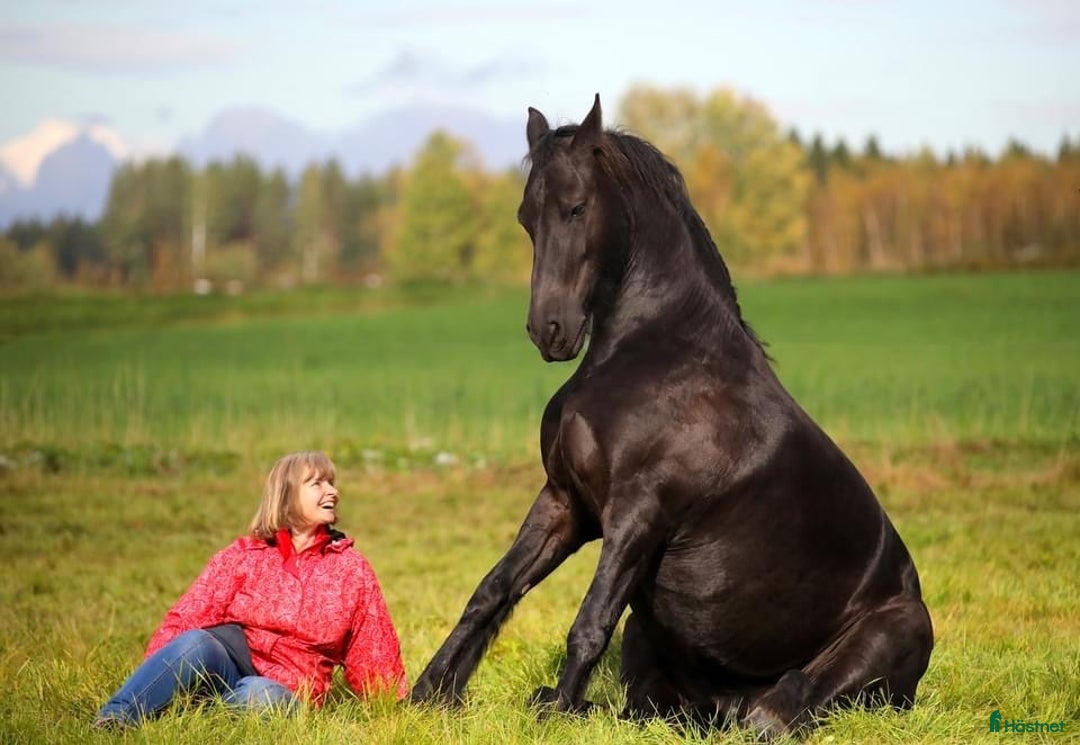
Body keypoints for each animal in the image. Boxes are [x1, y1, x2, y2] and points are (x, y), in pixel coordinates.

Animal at [410, 95, 933, 740]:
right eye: (525, 217)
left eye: (577, 207)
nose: (549, 330)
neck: (654, 350)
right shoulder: (566, 502)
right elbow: (493, 591)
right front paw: (432, 692)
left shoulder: (640, 511)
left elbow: (589, 621)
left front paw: (557, 712)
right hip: (652, 647)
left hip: (895, 630)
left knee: (788, 709)